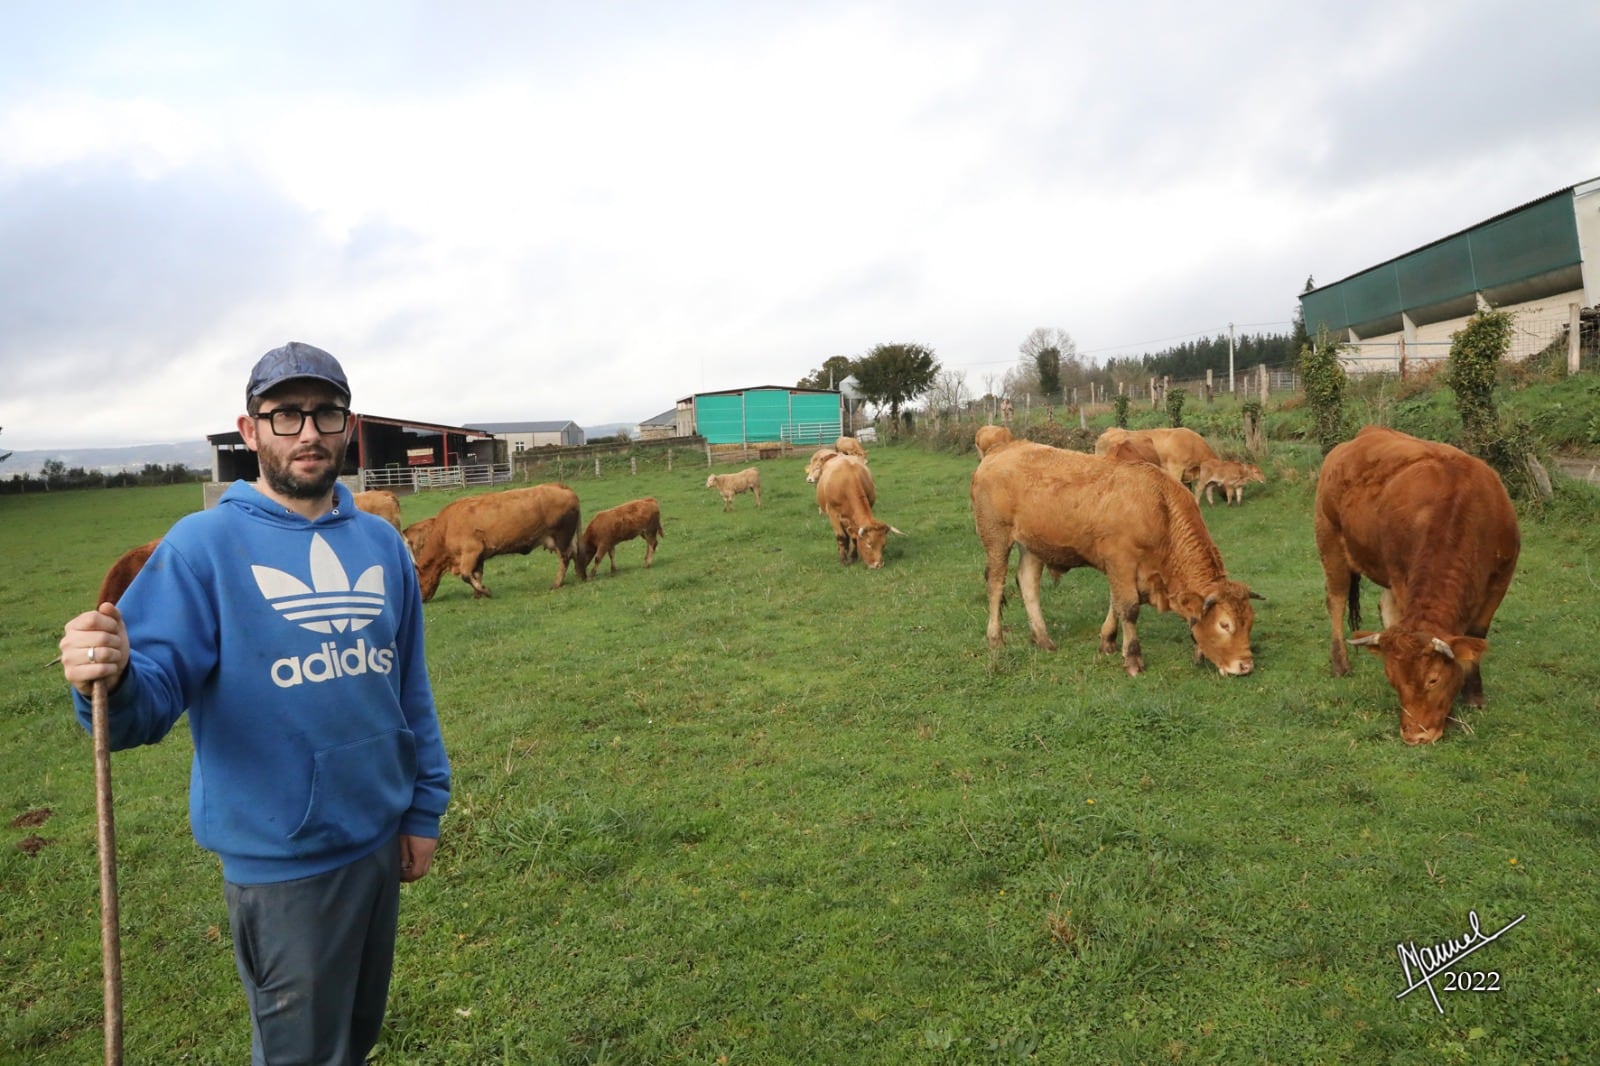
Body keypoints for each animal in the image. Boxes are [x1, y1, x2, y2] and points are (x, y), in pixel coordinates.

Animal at [412, 480, 588, 598]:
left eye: (418, 582)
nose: (421, 600)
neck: (446, 527)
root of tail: (559, 486)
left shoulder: (470, 551)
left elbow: (466, 575)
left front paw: (485, 591)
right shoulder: (478, 555)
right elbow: (476, 574)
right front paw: (477, 594)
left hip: (561, 536)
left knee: (565, 558)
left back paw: (556, 583)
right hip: (565, 538)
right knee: (575, 553)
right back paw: (580, 575)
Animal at [966, 438, 1254, 672]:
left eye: (1250, 622)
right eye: (1225, 624)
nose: (1245, 665)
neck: (1159, 507)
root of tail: (1001, 449)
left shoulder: (1123, 570)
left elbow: (1116, 603)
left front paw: (1108, 641)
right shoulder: (1121, 562)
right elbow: (1128, 607)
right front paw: (1133, 658)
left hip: (1032, 544)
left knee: (1028, 583)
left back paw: (1043, 638)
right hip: (996, 538)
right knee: (996, 585)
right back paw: (996, 638)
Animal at [1312, 422, 1523, 739]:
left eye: (1434, 679)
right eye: (1393, 680)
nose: (1415, 735)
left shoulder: (1501, 579)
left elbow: (1476, 635)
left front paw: (1474, 696)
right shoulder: (1403, 577)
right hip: (1330, 541)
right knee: (1336, 600)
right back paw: (1340, 664)